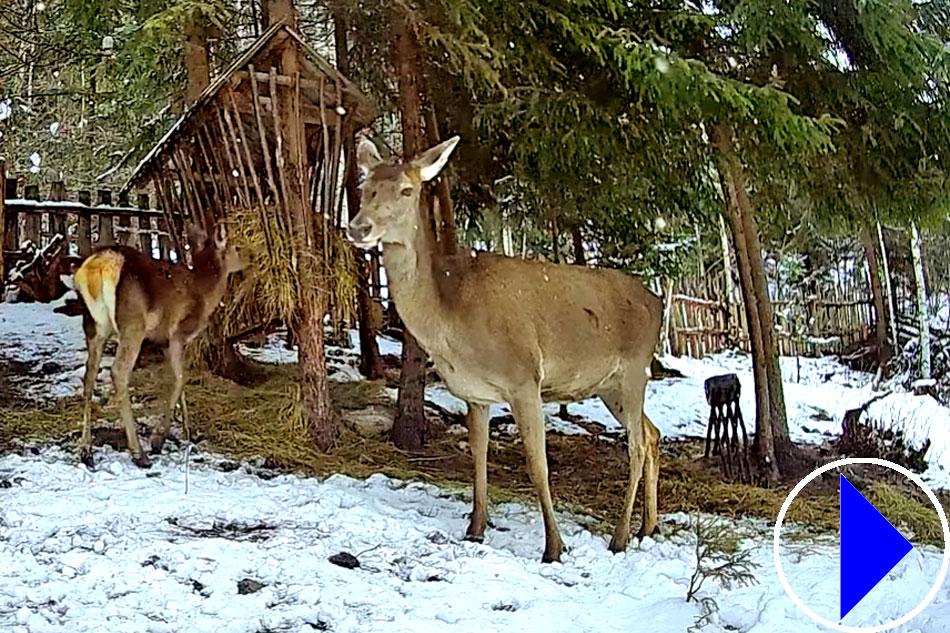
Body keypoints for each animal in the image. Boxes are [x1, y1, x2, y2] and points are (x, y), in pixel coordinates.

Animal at [75, 220, 245, 466]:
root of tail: (97, 267)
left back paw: (86, 450)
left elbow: (180, 381)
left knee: (89, 377)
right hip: (133, 325)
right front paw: (159, 438)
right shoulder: (176, 334)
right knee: (118, 372)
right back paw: (138, 452)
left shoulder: (163, 341)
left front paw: (188, 431)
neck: (204, 295)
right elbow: (180, 378)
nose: (251, 257)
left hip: (93, 326)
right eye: (238, 246)